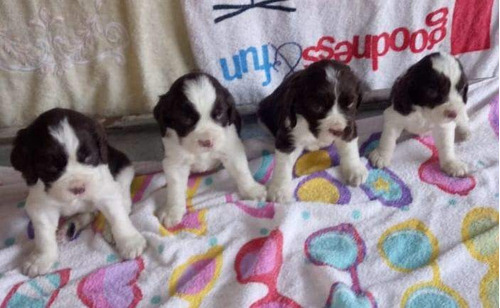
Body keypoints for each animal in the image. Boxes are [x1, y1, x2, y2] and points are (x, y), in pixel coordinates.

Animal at [10, 108, 146, 276]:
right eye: (51, 167)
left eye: (88, 157)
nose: (78, 188)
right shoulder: (41, 205)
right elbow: (43, 234)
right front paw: (41, 259)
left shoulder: (105, 190)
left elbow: (118, 217)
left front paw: (129, 241)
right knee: (88, 214)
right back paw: (68, 229)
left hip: (123, 173)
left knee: (124, 203)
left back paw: (108, 231)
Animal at [154, 71, 268, 226]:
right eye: (186, 119)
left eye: (219, 114)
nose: (207, 142)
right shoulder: (175, 162)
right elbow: (175, 187)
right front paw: (172, 210)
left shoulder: (231, 148)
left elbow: (241, 171)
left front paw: (252, 190)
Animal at [258, 59, 368, 203]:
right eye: (317, 107)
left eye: (350, 103)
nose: (337, 131)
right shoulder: (288, 135)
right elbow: (283, 164)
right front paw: (279, 190)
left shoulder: (349, 126)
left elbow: (349, 148)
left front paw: (355, 170)